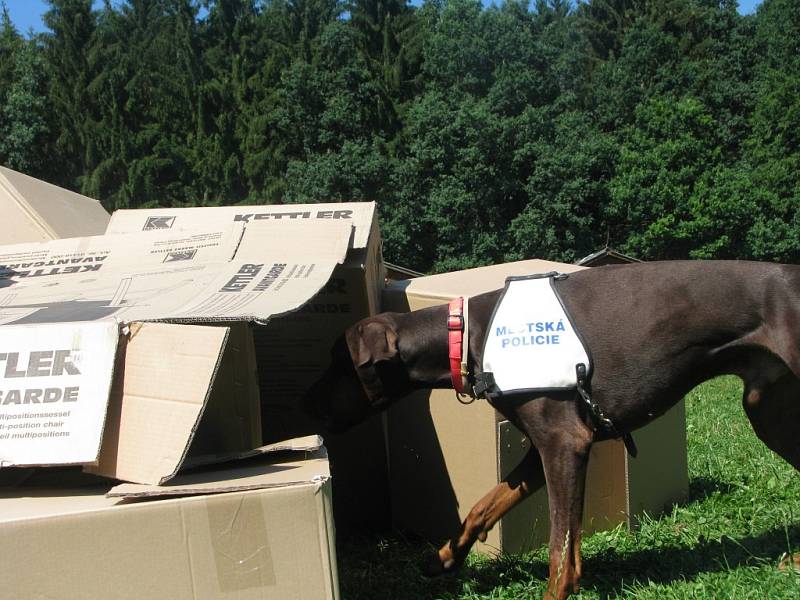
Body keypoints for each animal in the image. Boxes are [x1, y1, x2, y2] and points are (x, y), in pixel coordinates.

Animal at [302, 262, 800, 600]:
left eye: (338, 362)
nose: (305, 405)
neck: (468, 335)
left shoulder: (564, 444)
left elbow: (561, 551)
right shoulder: (542, 449)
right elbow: (485, 506)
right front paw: (445, 556)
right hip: (767, 410)